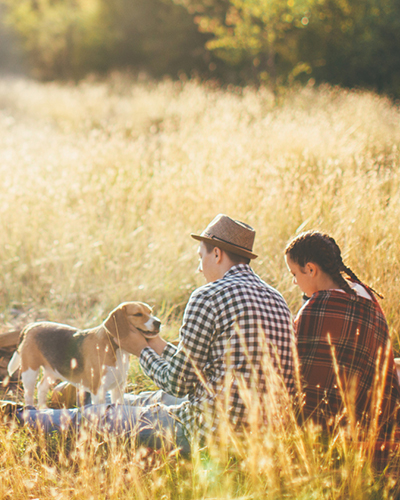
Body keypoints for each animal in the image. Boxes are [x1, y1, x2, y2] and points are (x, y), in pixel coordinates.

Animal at [7, 302, 160, 408]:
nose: (158, 322)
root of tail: (32, 326)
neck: (116, 349)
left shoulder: (119, 388)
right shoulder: (99, 391)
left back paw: (44, 409)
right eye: (138, 314)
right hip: (29, 371)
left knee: (42, 387)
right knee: (29, 393)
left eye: (150, 312)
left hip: (52, 371)